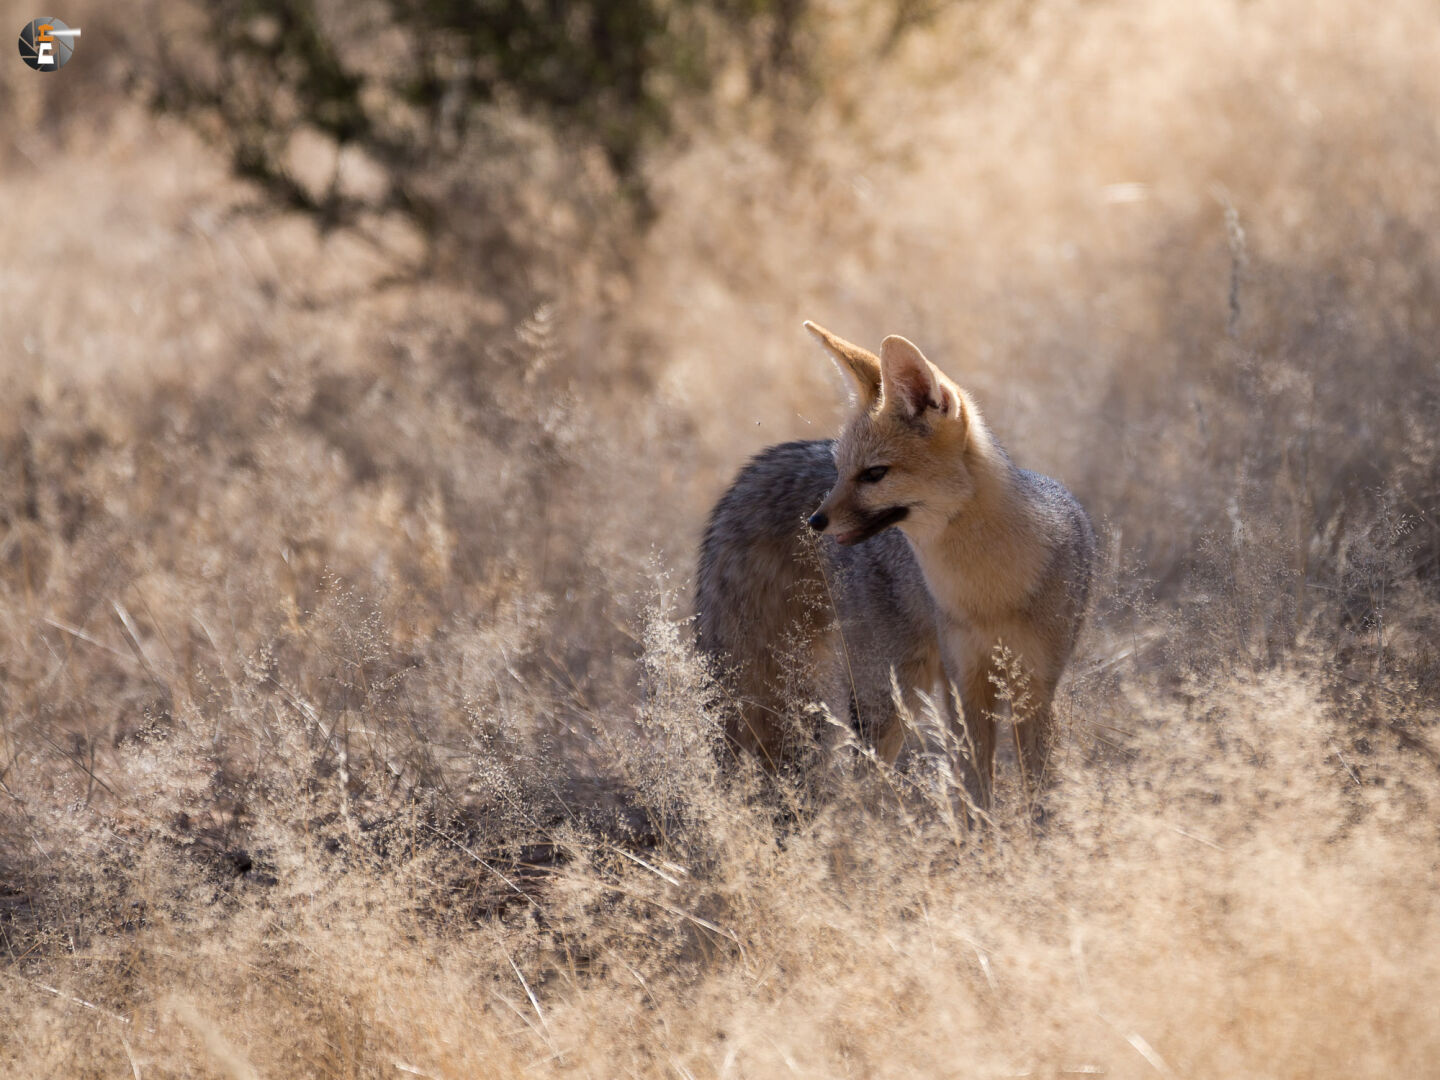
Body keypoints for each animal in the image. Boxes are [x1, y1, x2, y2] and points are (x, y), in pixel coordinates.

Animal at [696, 322, 1095, 806]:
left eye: (874, 474)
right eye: (842, 470)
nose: (815, 521)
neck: (990, 595)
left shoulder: (1035, 688)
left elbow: (1038, 793)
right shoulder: (966, 686)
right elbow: (975, 795)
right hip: (889, 695)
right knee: (859, 785)